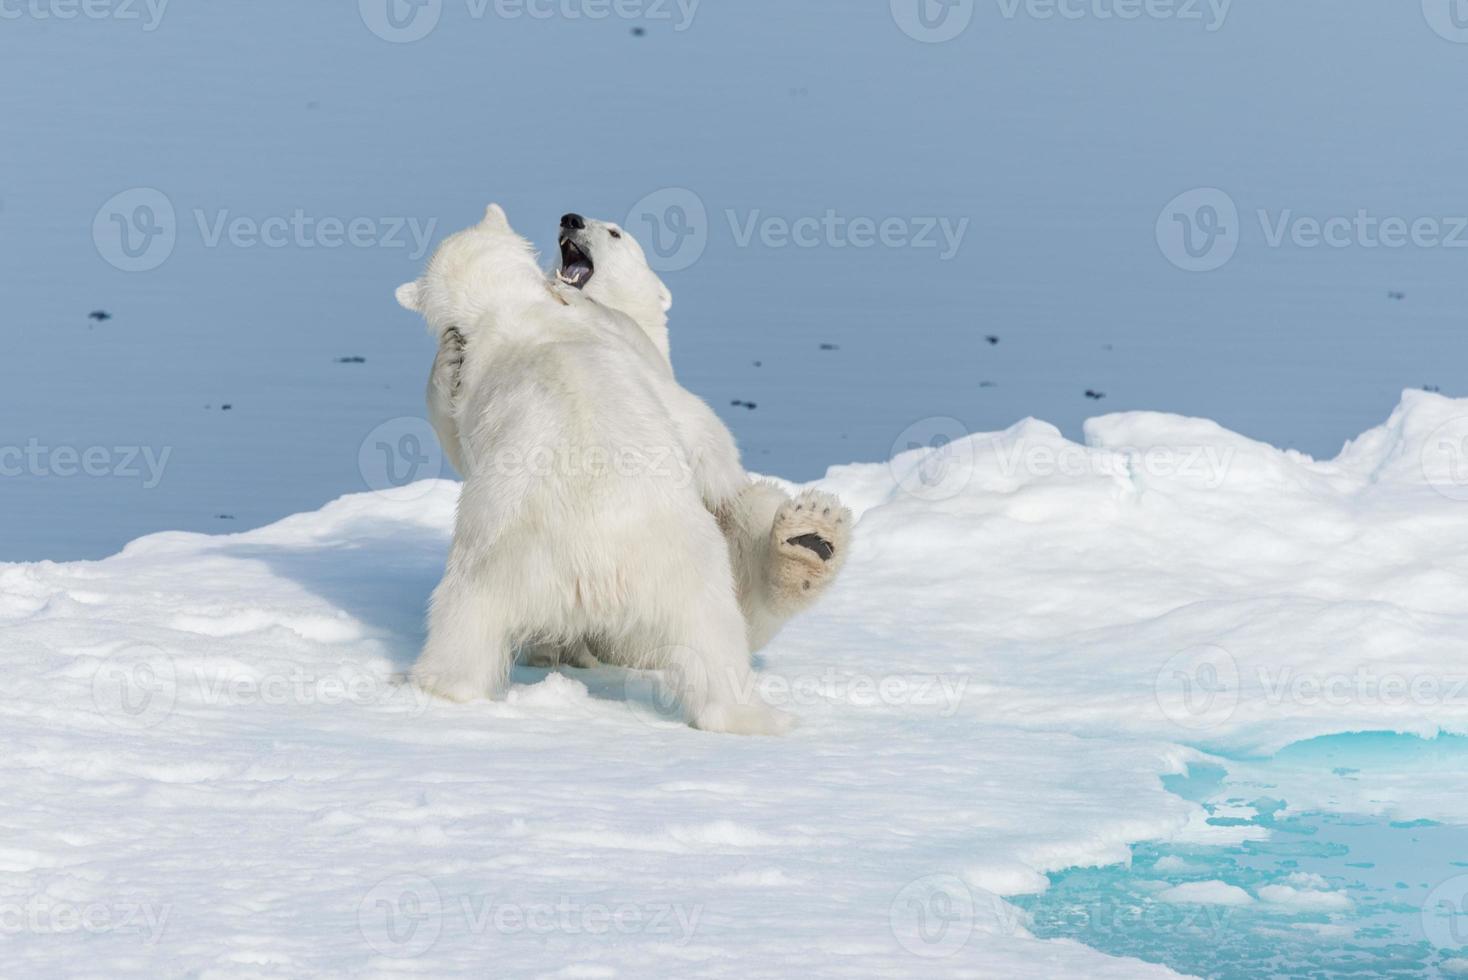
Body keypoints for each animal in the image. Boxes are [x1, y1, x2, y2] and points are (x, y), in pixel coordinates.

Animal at [396, 202, 798, 730]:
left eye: (613, 232)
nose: (570, 219)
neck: (513, 310)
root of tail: (598, 573)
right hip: (681, 569)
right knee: (713, 639)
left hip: (509, 563)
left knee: (464, 618)